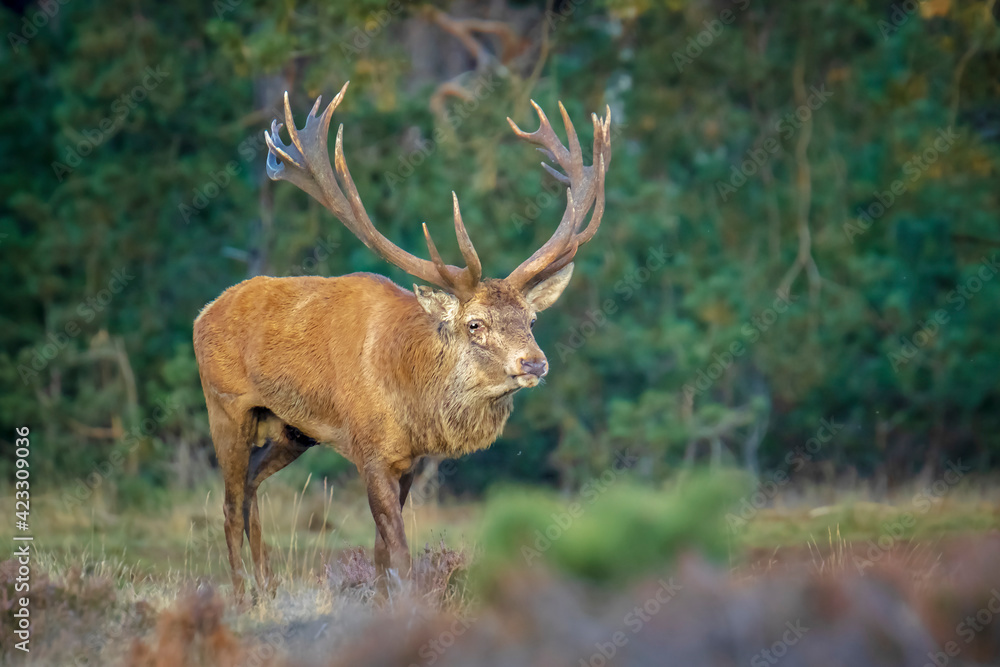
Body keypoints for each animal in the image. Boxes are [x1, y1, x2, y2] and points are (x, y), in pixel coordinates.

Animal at [193, 81, 611, 600]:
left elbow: (380, 554)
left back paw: (267, 586)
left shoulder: (409, 460)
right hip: (226, 407)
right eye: (475, 324)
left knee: (250, 488)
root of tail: (203, 314)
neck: (412, 398)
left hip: (290, 430)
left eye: (531, 319)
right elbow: (399, 552)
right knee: (230, 505)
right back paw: (241, 596)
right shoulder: (370, 451)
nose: (534, 363)